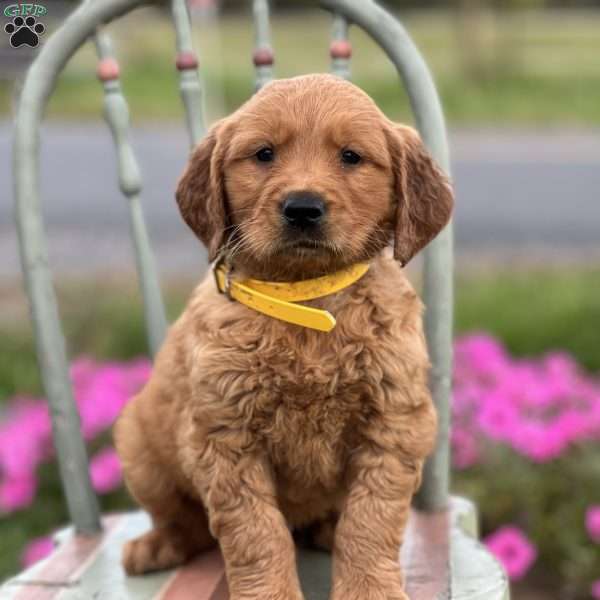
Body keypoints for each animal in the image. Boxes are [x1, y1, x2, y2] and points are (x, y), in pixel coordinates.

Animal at [115, 71, 454, 600]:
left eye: (351, 156)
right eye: (263, 154)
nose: (302, 208)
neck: (304, 302)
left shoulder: (394, 424)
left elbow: (369, 521)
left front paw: (368, 587)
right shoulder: (224, 437)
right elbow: (257, 533)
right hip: (140, 449)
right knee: (181, 520)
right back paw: (156, 546)